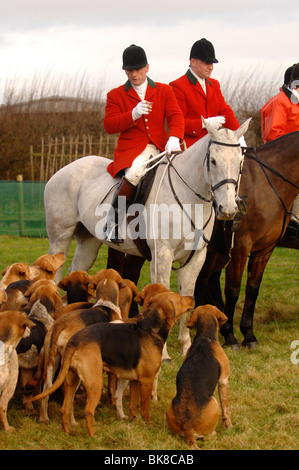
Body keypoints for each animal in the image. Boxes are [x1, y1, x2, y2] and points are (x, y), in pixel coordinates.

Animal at [29, 292, 195, 436]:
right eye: (180, 298)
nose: (193, 297)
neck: (149, 329)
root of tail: (74, 341)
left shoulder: (135, 381)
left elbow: (133, 406)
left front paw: (133, 421)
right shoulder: (146, 381)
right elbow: (145, 408)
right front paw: (147, 425)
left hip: (71, 381)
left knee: (65, 408)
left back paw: (67, 431)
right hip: (94, 383)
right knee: (88, 411)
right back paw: (93, 436)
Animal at [44, 119, 251, 354]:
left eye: (240, 161)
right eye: (213, 161)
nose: (228, 208)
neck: (189, 196)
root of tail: (62, 171)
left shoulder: (196, 258)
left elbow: (188, 298)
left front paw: (186, 346)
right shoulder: (162, 255)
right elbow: (163, 296)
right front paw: (164, 351)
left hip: (88, 245)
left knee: (74, 272)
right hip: (60, 238)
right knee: (55, 276)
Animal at [168, 302, 233, 450]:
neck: (205, 338)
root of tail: (187, 426)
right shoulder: (224, 380)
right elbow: (226, 409)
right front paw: (229, 426)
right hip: (214, 402)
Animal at [195, 131, 299, 348]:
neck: (267, 185)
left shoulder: (264, 249)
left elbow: (252, 289)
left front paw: (248, 334)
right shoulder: (240, 248)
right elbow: (233, 290)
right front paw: (231, 337)